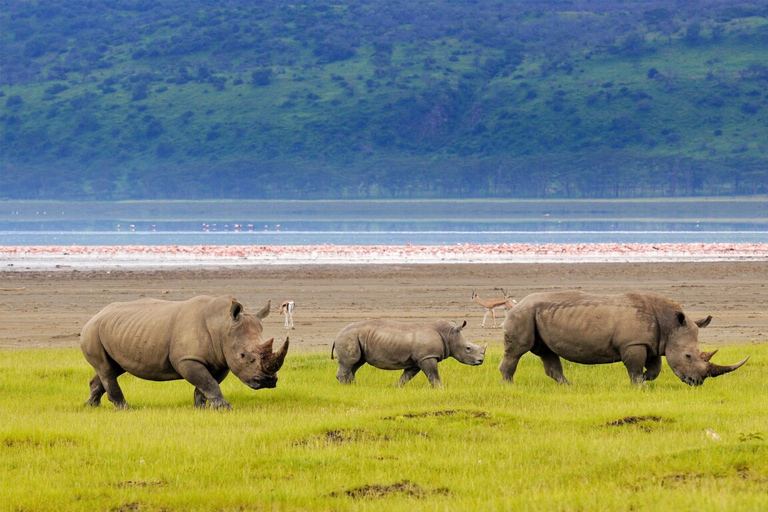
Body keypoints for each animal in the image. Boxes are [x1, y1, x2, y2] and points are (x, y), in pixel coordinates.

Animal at [79, 294, 288, 410]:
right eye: (244, 356)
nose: (268, 382)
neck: (222, 325)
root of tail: (96, 314)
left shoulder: (221, 360)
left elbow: (206, 384)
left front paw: (201, 408)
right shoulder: (187, 360)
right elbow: (208, 382)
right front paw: (224, 408)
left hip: (116, 330)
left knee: (113, 368)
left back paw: (91, 405)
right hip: (92, 331)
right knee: (106, 369)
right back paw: (124, 408)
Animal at [332, 318, 486, 386]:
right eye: (468, 348)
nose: (481, 361)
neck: (448, 335)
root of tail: (337, 334)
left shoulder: (417, 360)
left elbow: (406, 377)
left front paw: (395, 388)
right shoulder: (427, 356)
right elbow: (433, 376)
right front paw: (441, 389)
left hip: (355, 338)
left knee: (356, 364)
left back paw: (353, 386)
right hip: (349, 337)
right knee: (349, 363)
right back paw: (347, 387)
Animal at [500, 290, 748, 386]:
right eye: (688, 356)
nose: (697, 382)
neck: (670, 324)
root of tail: (516, 304)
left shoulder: (652, 343)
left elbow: (656, 368)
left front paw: (647, 379)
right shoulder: (633, 343)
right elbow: (634, 367)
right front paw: (639, 384)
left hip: (537, 315)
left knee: (548, 353)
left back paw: (569, 386)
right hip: (523, 314)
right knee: (518, 350)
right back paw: (509, 385)